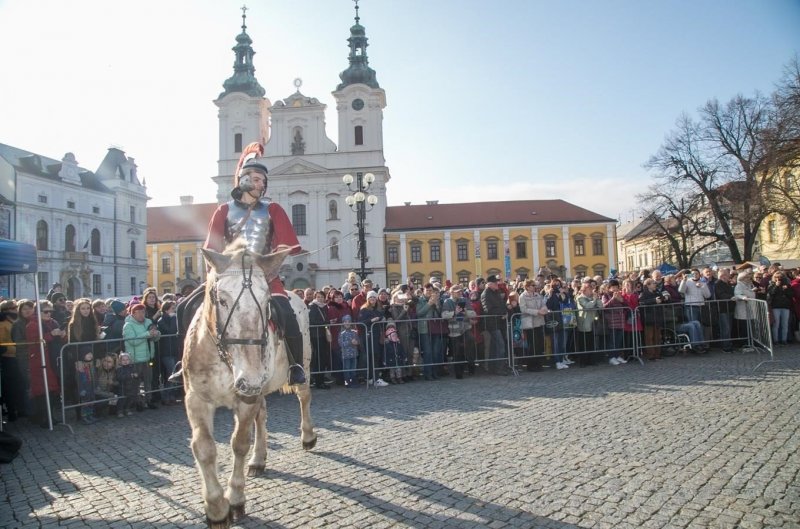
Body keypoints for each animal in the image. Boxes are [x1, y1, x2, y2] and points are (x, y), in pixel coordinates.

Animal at [183, 243, 318, 528]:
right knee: (262, 416)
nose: (249, 378)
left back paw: (307, 436)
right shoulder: (197, 399)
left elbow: (239, 443)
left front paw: (235, 499)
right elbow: (204, 448)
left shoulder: (245, 399)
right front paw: (215, 508)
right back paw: (258, 459)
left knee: (304, 398)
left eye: (266, 302)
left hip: (300, 367)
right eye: (221, 299)